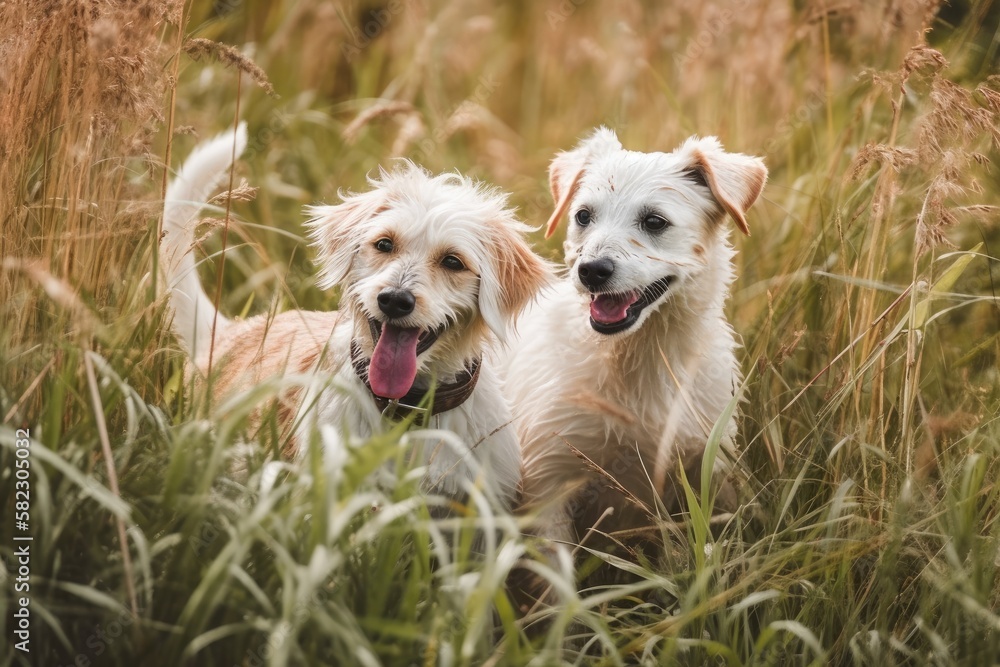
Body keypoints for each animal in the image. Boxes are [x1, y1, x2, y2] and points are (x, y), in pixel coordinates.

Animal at [504, 130, 768, 576]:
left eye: (655, 221)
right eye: (583, 216)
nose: (591, 271)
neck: (638, 355)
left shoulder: (712, 466)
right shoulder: (548, 483)